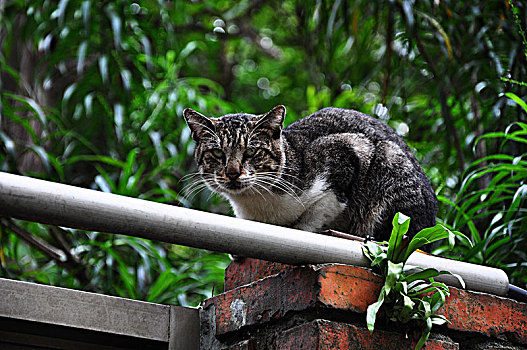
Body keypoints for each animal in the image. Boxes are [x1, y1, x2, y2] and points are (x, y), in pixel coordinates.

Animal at [184, 104, 440, 241]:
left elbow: (318, 213)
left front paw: (302, 228)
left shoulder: (348, 149)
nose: (232, 172)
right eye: (217, 153)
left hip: (390, 162)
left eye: (251, 151)